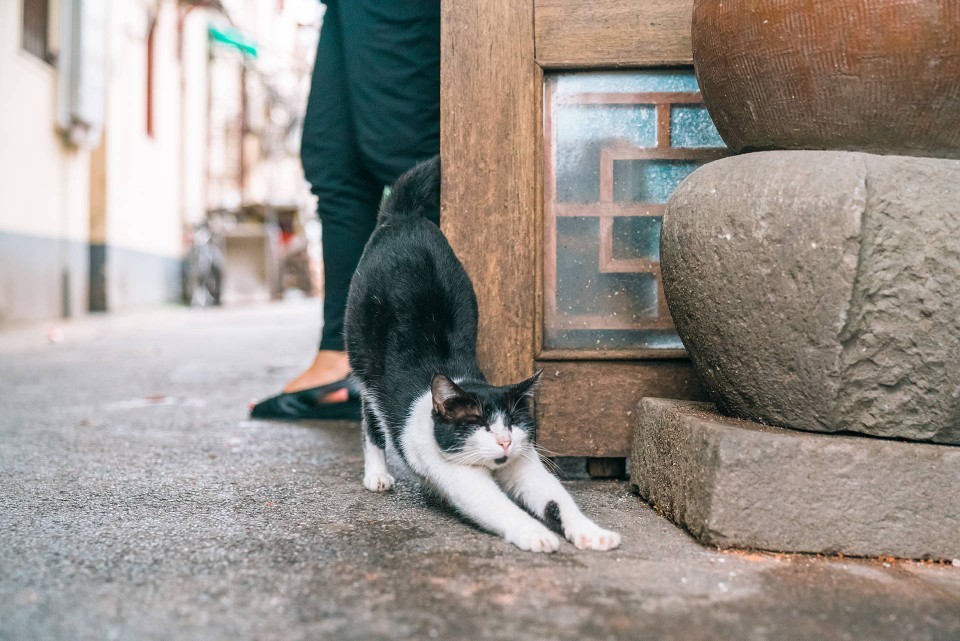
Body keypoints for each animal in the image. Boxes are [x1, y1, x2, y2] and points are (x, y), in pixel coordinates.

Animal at [344, 158, 624, 552]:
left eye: (512, 423)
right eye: (478, 423)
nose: (504, 440)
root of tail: (402, 216)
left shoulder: (524, 457)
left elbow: (554, 496)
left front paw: (590, 531)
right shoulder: (454, 471)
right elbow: (495, 504)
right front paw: (535, 534)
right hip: (361, 346)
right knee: (371, 410)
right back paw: (377, 473)